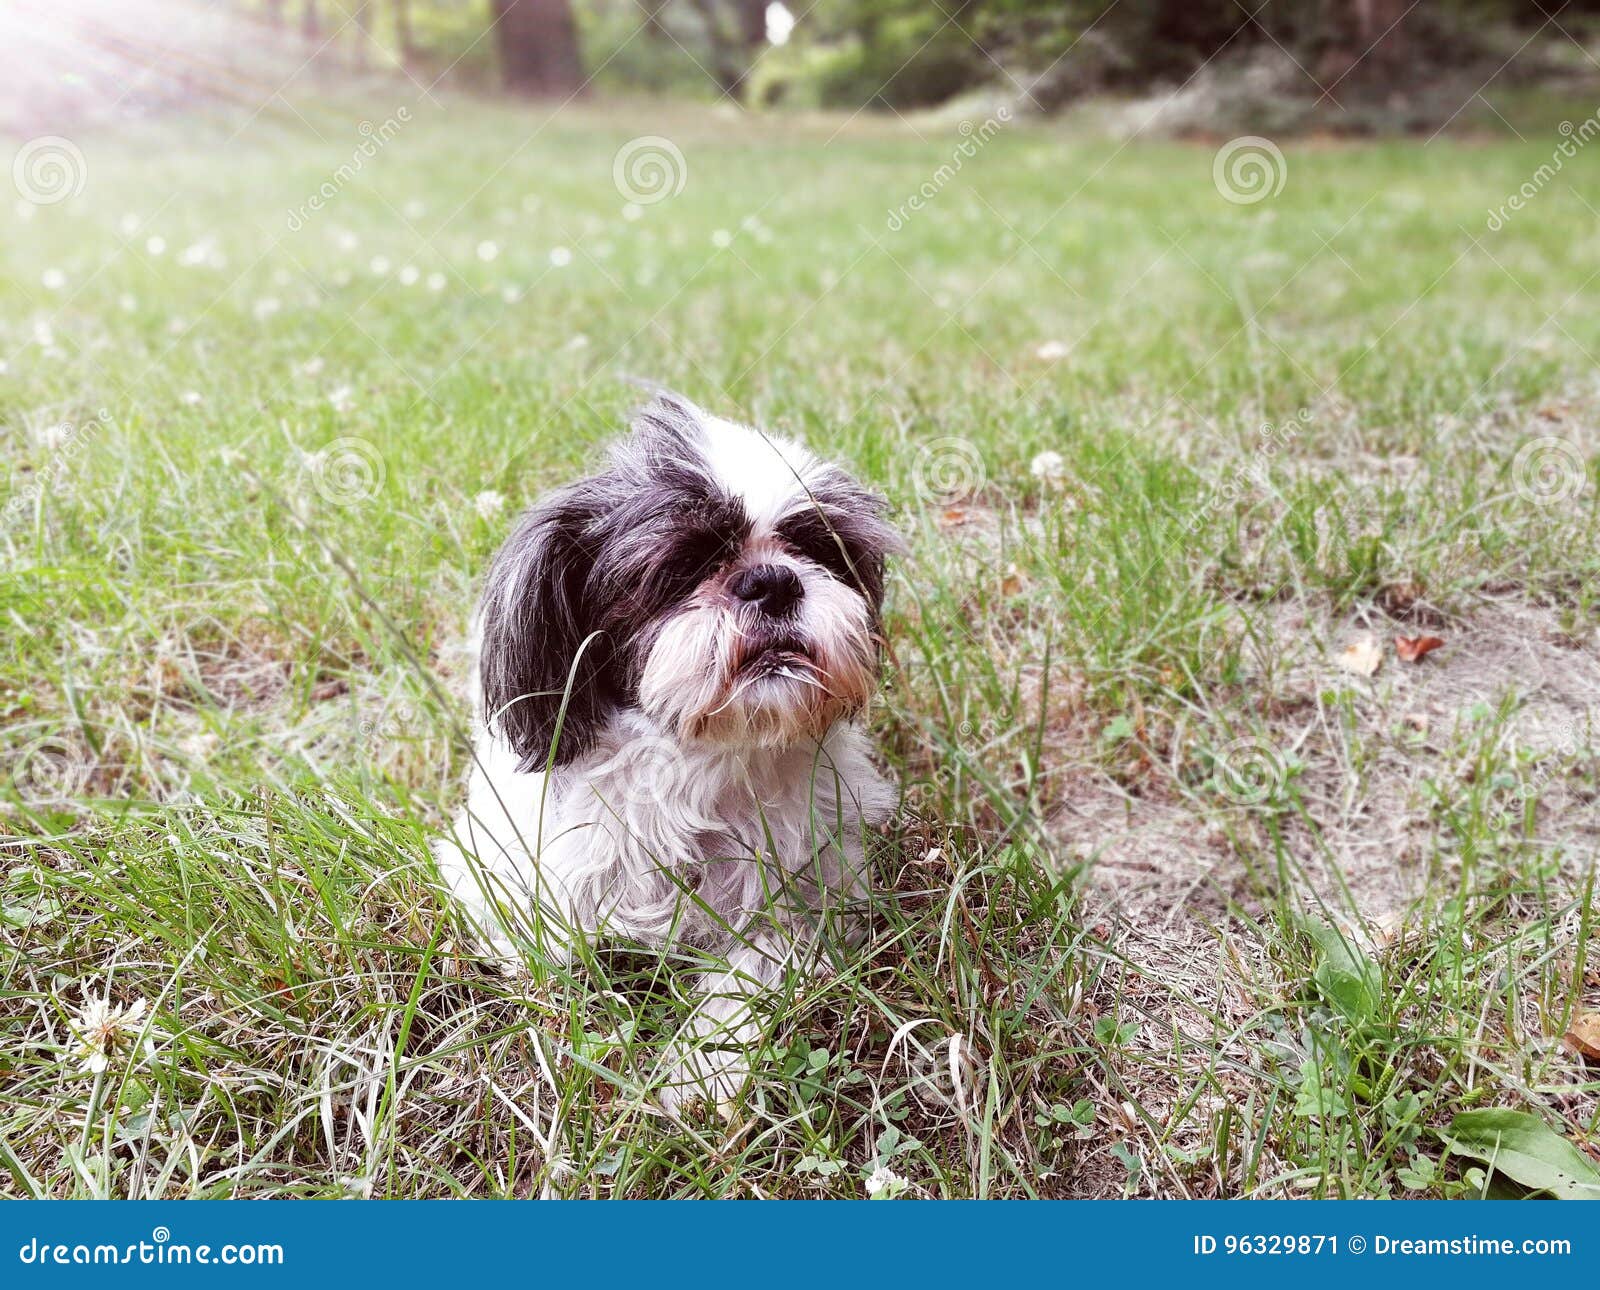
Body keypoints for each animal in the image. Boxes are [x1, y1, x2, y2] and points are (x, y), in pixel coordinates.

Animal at [438, 393, 902, 1113]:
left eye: (817, 549)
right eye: (683, 566)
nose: (772, 580)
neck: (692, 765)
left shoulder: (809, 888)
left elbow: (755, 966)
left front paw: (701, 1071)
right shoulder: (506, 866)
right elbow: (540, 951)